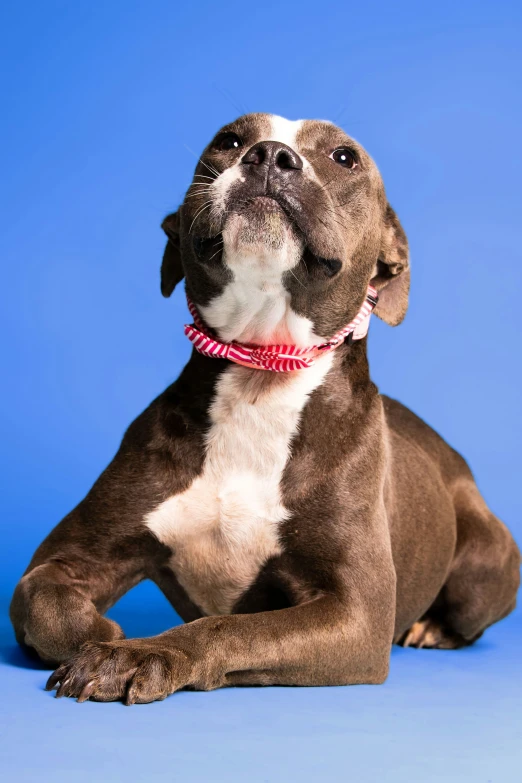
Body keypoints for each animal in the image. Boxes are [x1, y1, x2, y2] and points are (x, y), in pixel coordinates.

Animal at [10, 112, 516, 704]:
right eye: (228, 140)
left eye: (344, 157)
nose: (271, 155)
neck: (262, 372)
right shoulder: (65, 560)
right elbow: (45, 606)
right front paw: (106, 636)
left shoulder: (355, 614)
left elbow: (227, 628)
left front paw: (139, 653)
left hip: (485, 562)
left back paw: (433, 628)